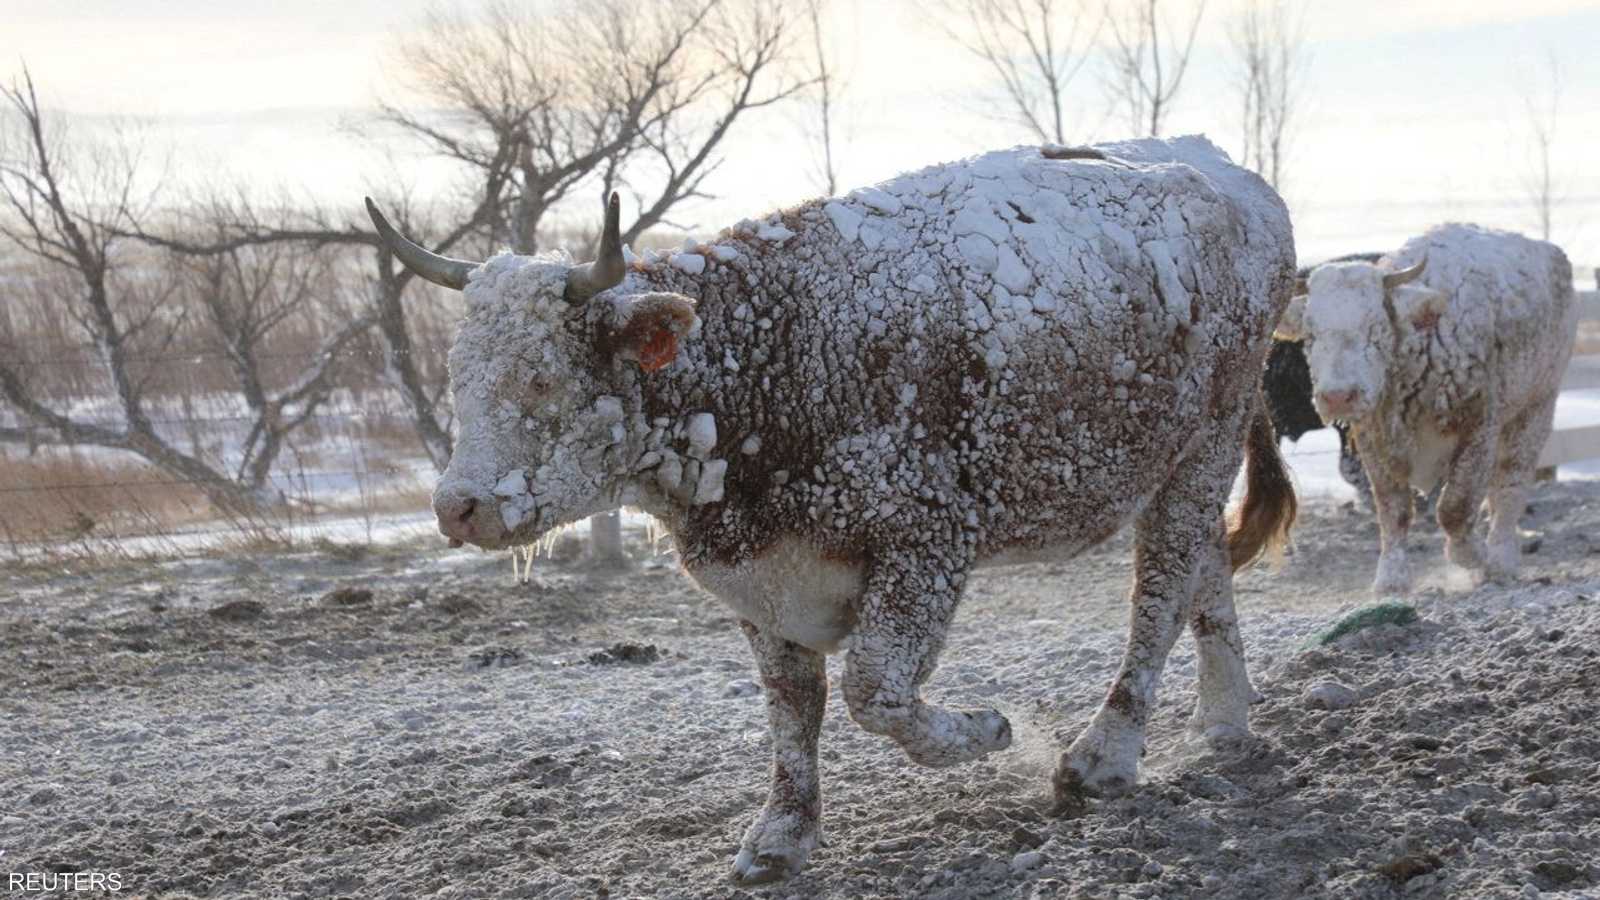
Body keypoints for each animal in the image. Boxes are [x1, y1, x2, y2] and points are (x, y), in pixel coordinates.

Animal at [366, 136, 1299, 877]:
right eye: (459, 376)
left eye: (540, 378)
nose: (459, 507)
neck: (765, 357)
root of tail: (1230, 176)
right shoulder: (763, 583)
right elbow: (794, 709)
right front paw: (782, 834)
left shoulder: (927, 542)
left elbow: (871, 691)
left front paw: (987, 732)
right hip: (1184, 462)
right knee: (1203, 571)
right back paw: (1224, 719)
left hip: (1202, 446)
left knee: (1160, 592)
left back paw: (1104, 756)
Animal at [1273, 220, 1574, 592]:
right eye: (1311, 334)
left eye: (1376, 328)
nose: (1338, 396)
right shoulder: (1374, 442)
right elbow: (1394, 510)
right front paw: (1391, 577)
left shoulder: (1479, 429)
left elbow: (1455, 506)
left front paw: (1473, 555)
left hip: (1535, 407)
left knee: (1510, 484)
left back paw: (1501, 558)